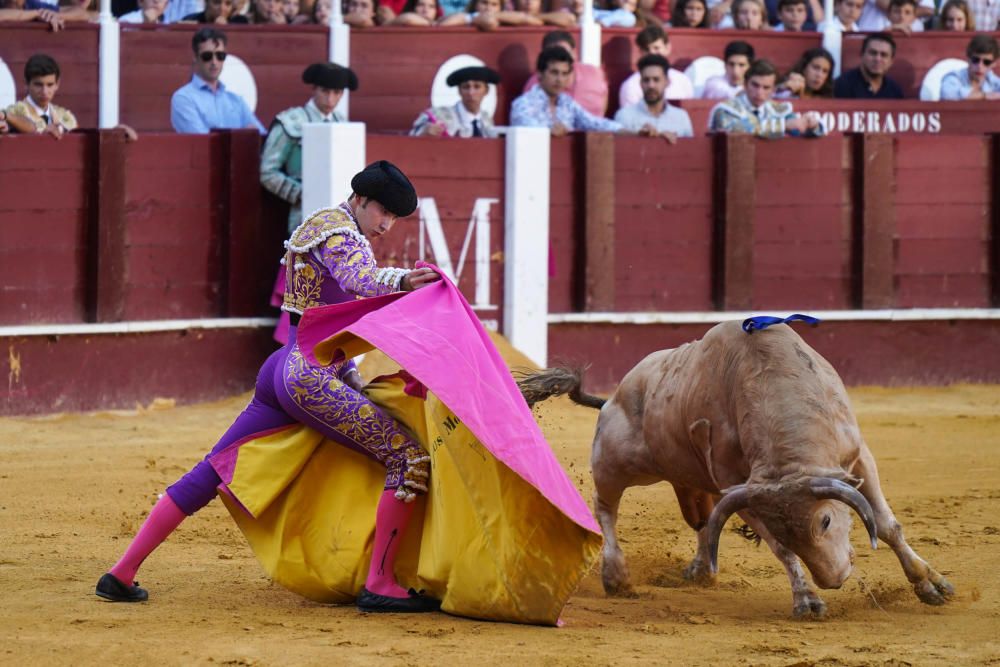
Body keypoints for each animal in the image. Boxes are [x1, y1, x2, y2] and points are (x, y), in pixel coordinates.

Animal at [520, 320, 956, 620]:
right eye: (792, 531)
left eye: (826, 521)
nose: (833, 579)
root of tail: (613, 396)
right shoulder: (741, 488)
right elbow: (780, 549)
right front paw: (807, 599)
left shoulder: (857, 455)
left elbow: (886, 525)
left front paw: (931, 584)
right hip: (618, 463)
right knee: (606, 507)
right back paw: (617, 576)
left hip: (691, 478)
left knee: (704, 521)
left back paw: (699, 571)